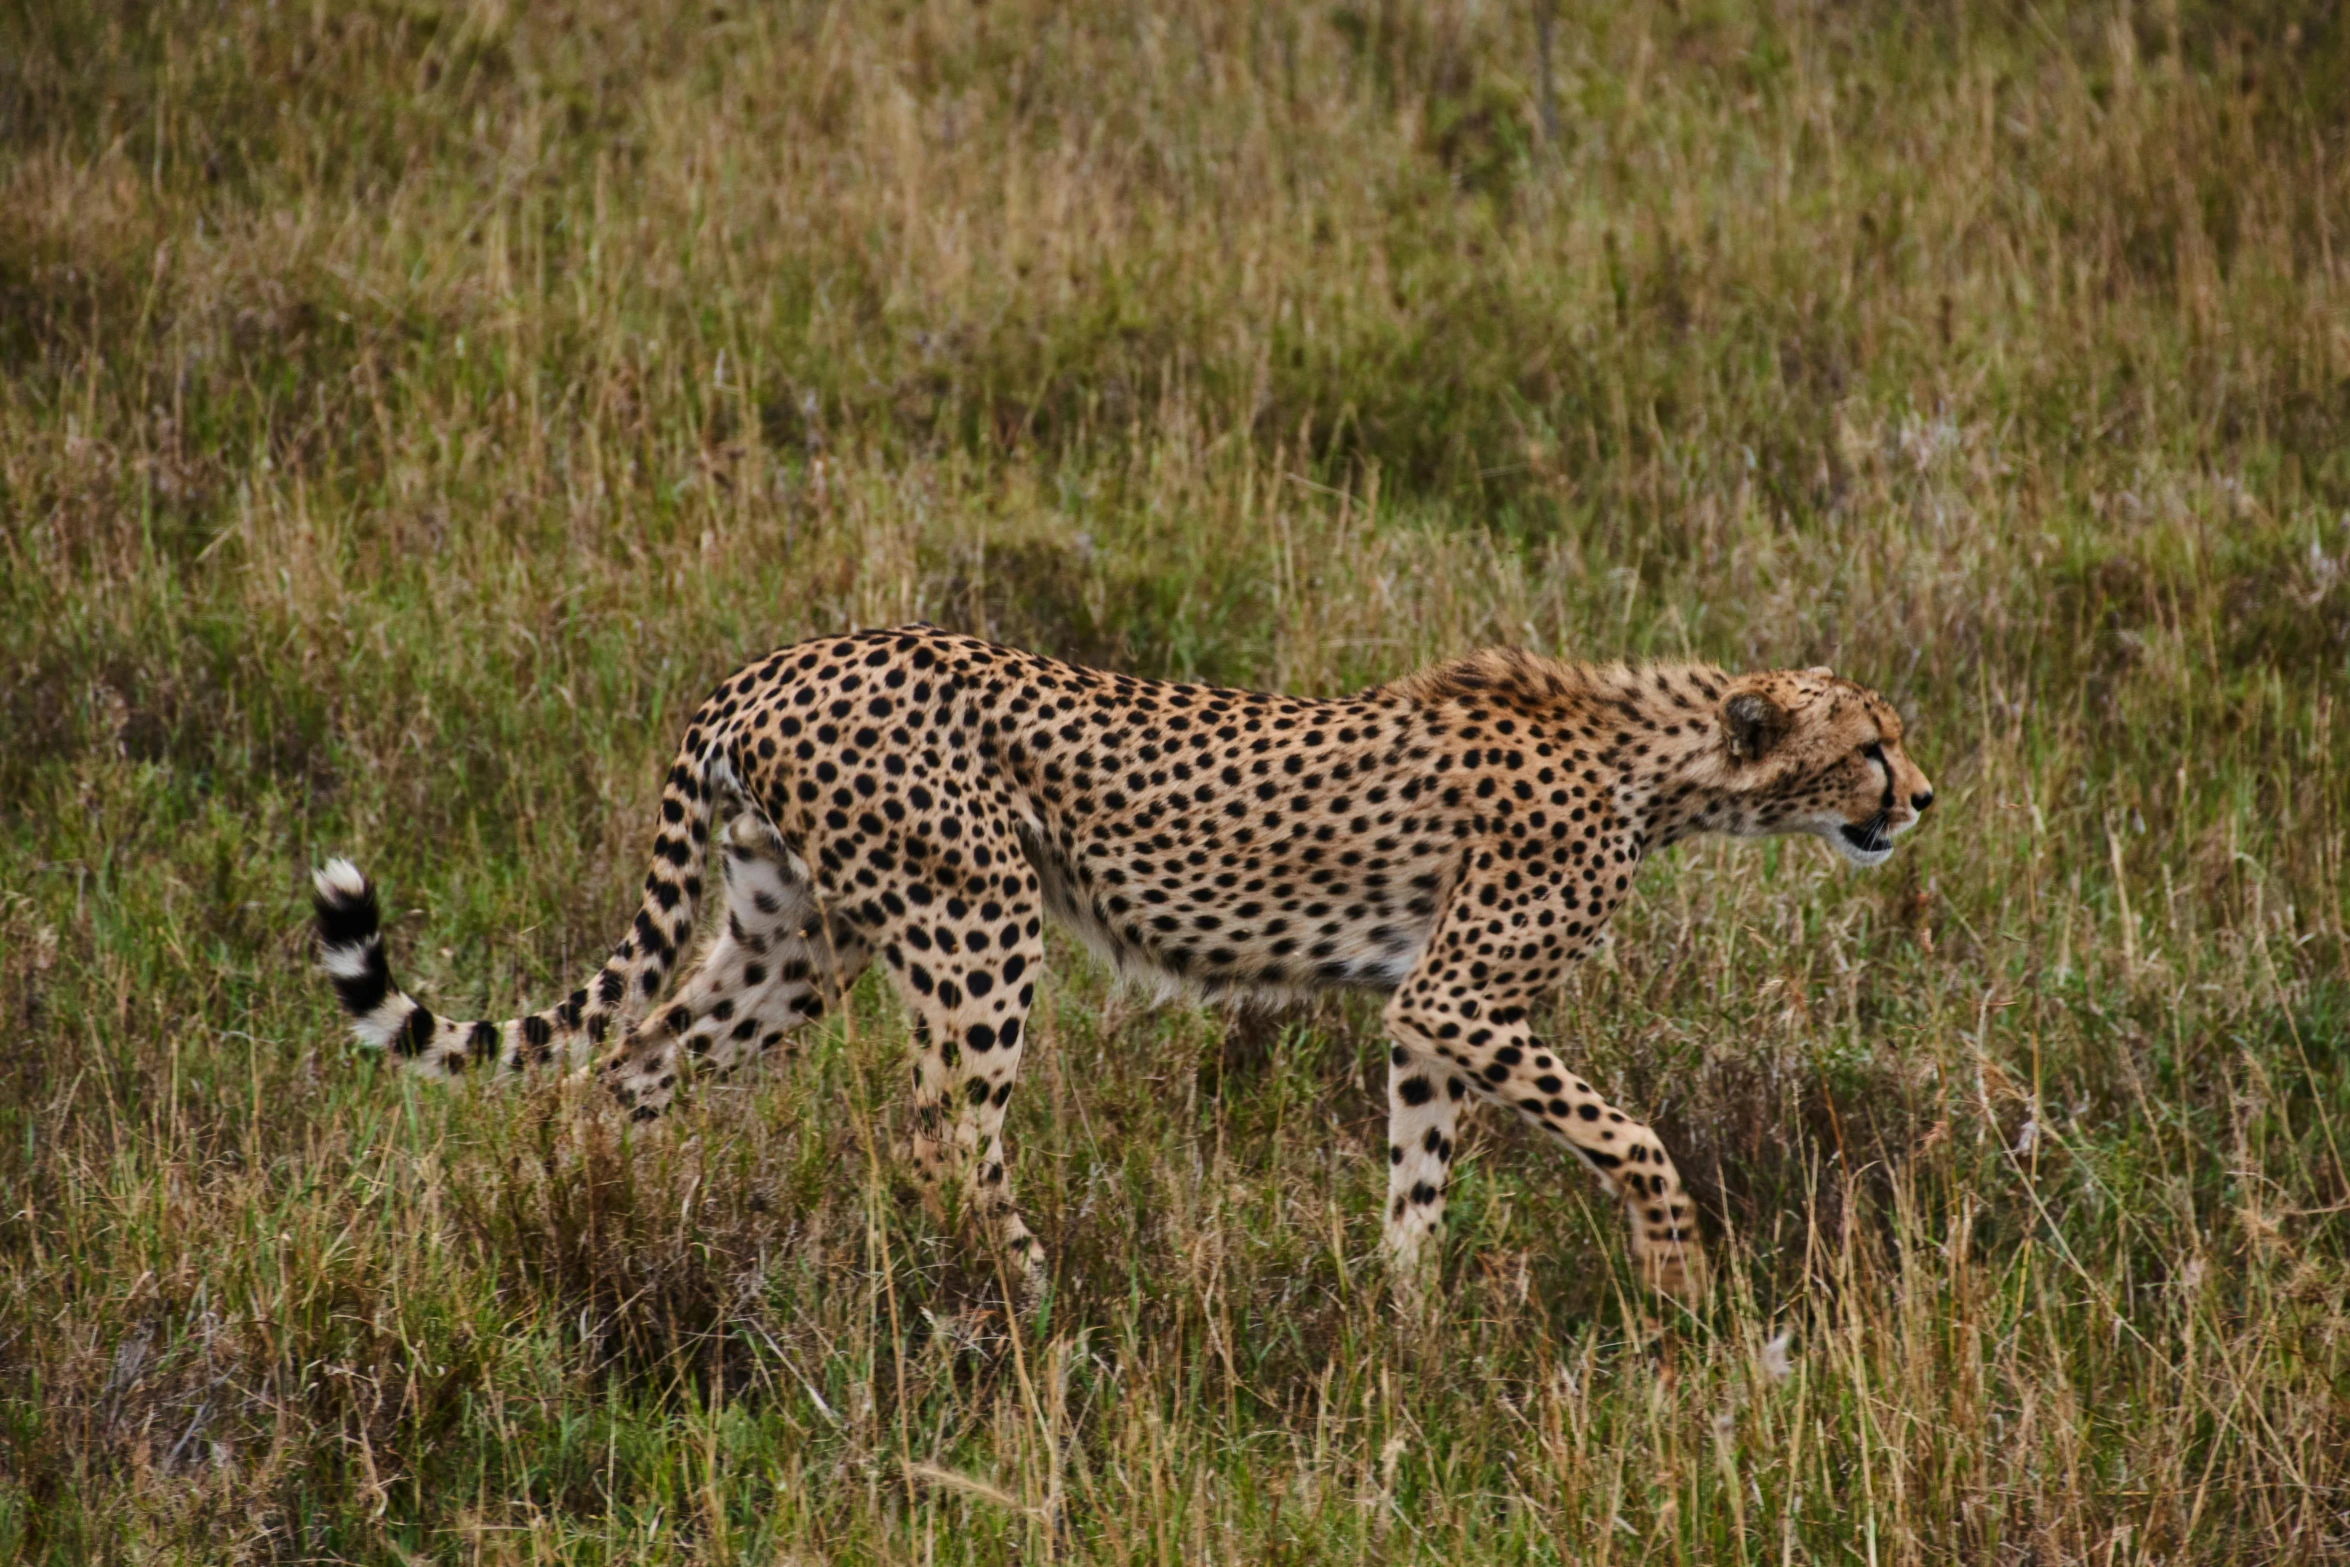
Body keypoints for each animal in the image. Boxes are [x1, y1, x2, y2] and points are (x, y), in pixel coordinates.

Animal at [307, 620, 1926, 1296]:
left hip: (789, 943)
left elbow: (1418, 1176)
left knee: (624, 1076)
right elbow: (1632, 1133)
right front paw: (1676, 1277)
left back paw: (609, 1234)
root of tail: (775, 661)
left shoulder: (1424, 1015)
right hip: (978, 917)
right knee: (942, 1136)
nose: (1920, 797)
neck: (1661, 764)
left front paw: (1403, 1328)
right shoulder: (1457, 991)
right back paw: (1044, 1314)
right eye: (1869, 744)